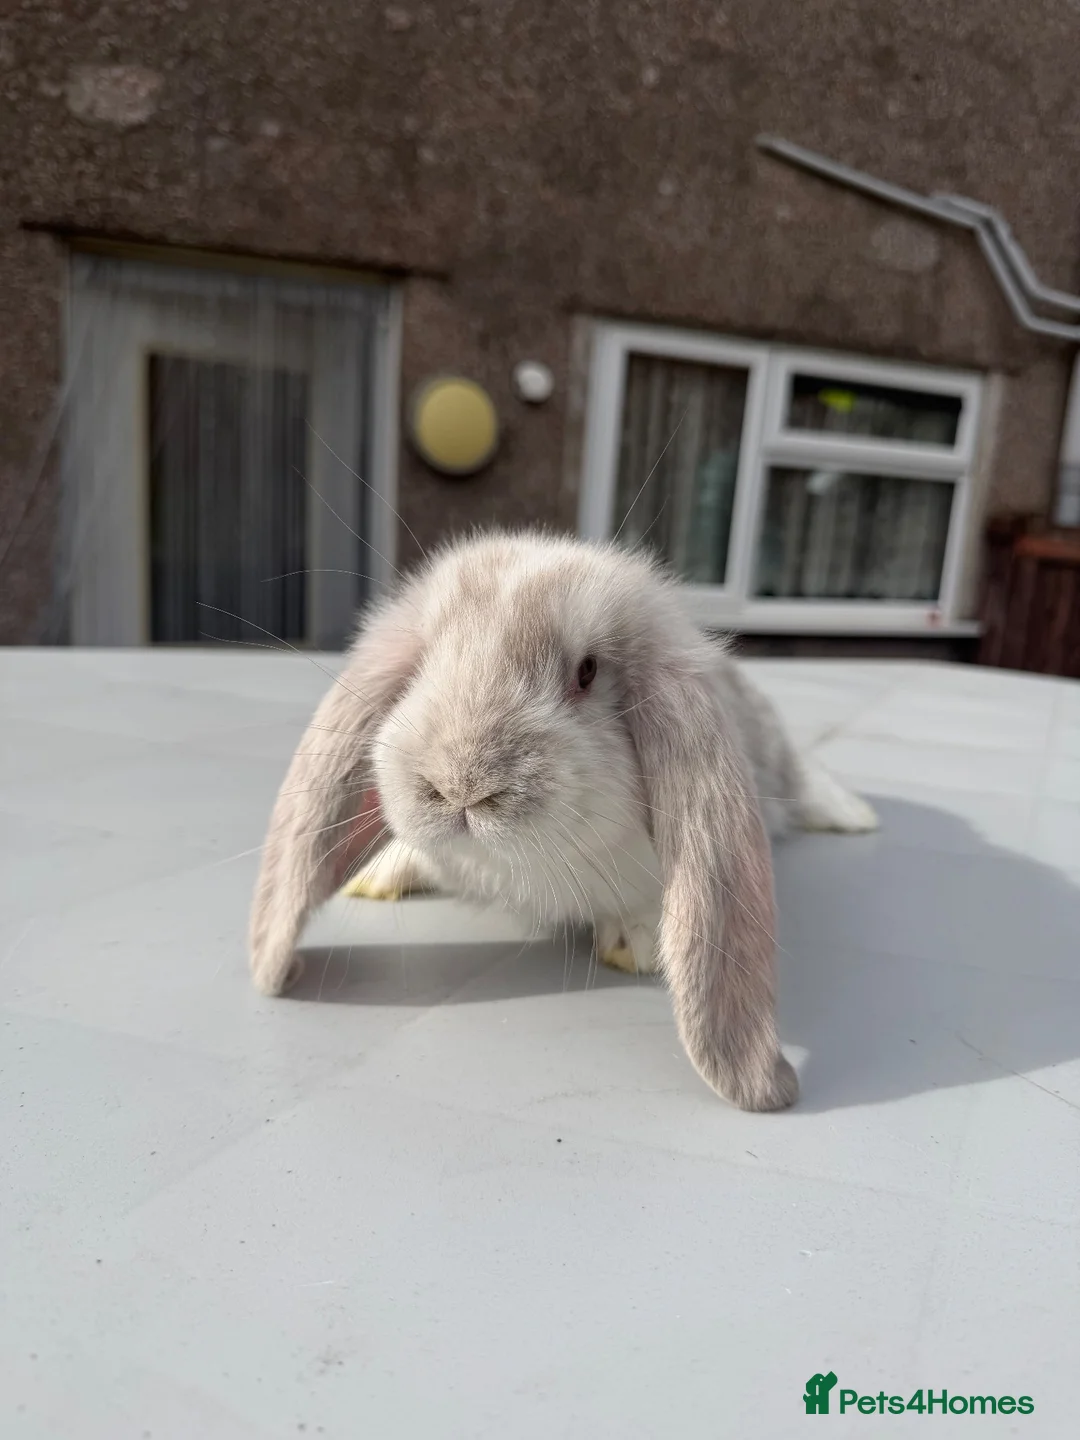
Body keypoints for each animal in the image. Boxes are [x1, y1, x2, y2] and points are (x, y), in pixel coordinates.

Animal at [249, 528, 878, 1111]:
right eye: (422, 663)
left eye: (587, 672)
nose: (460, 786)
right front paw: (379, 875)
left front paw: (636, 944)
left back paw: (858, 816)